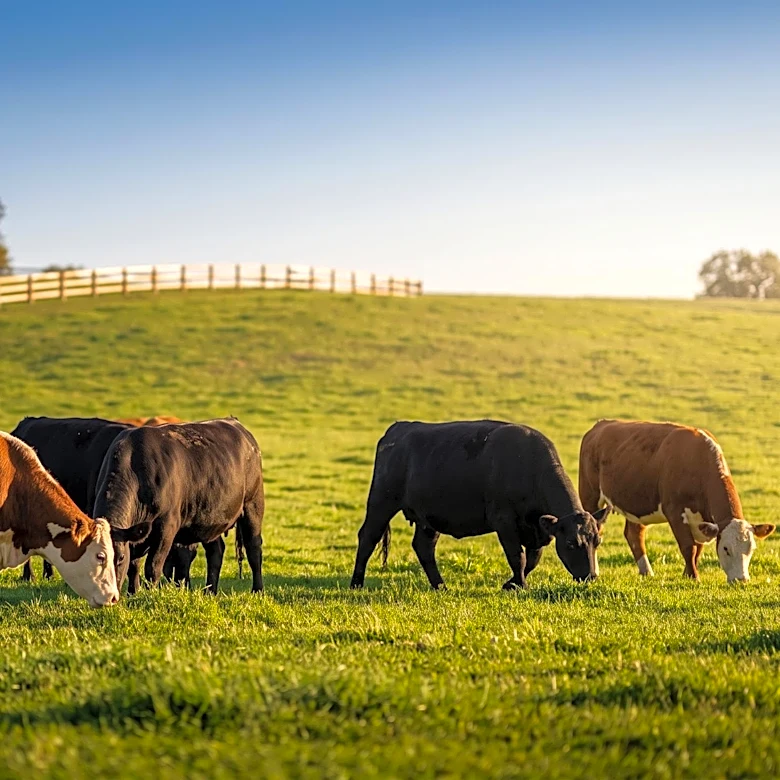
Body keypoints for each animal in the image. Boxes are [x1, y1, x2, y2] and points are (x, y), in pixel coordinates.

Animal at [93, 418, 264, 594]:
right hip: (210, 517)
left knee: (253, 548)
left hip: (253, 504)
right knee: (215, 551)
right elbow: (134, 566)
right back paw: (210, 591)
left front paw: (149, 594)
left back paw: (257, 590)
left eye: (120, 558)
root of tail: (234, 422)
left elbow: (153, 565)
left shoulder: (167, 525)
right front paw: (133, 593)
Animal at [350, 420, 610, 590]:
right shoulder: (504, 521)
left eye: (597, 541)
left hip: (427, 517)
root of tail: (399, 429)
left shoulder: (537, 529)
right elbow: (518, 556)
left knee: (423, 547)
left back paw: (440, 586)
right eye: (571, 543)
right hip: (381, 502)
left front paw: (512, 583)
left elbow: (532, 559)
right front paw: (520, 585)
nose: (591, 576)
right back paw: (356, 583)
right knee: (368, 537)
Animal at [578, 419, 775, 583]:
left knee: (634, 534)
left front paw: (687, 574)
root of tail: (601, 424)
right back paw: (596, 571)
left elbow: (698, 549)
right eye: (726, 548)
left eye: (751, 548)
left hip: (636, 502)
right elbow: (689, 547)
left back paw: (646, 571)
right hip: (590, 496)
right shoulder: (674, 511)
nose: (741, 580)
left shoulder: (702, 521)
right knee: (596, 530)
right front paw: (694, 577)